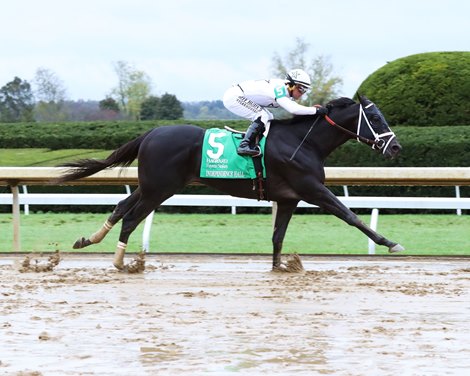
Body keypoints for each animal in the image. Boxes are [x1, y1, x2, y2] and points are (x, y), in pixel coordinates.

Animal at [56, 95, 404, 268]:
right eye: (375, 118)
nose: (396, 147)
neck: (302, 142)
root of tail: (151, 133)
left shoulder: (289, 198)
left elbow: (278, 237)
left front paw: (279, 267)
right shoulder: (312, 189)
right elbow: (351, 215)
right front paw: (390, 242)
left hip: (150, 185)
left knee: (120, 206)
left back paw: (88, 240)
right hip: (160, 189)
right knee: (130, 217)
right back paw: (119, 262)